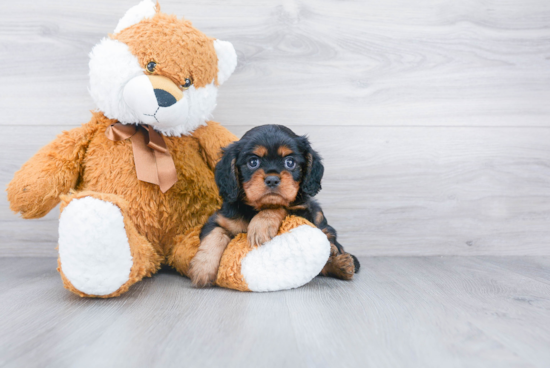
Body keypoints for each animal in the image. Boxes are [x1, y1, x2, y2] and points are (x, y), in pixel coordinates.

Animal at [190, 125, 362, 288]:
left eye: (290, 162)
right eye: (253, 162)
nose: (272, 179)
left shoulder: (304, 213)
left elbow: (279, 207)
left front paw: (261, 225)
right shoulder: (218, 220)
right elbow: (214, 236)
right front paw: (202, 269)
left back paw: (341, 262)